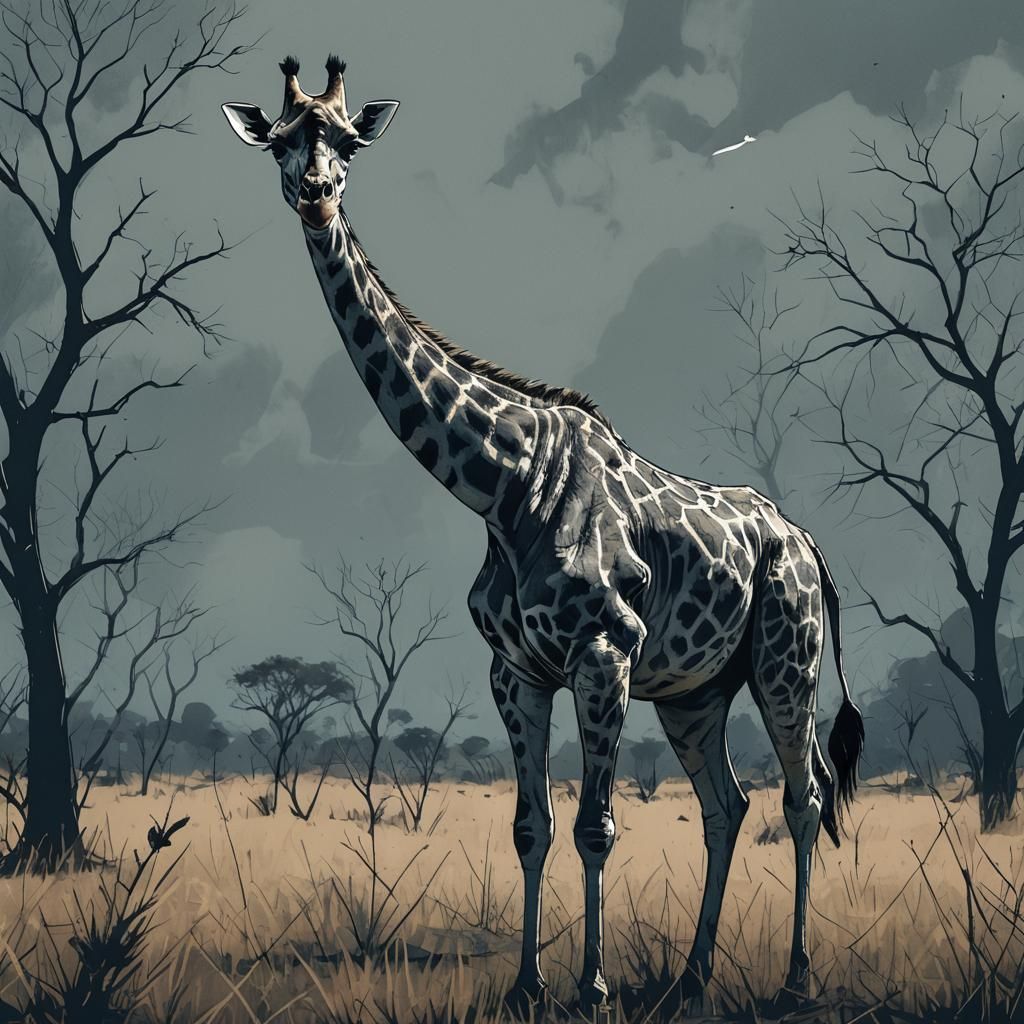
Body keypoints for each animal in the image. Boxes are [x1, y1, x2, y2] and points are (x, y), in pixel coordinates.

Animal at [222, 57, 866, 1016]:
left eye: (345, 141)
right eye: (279, 141)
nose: (315, 194)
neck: (502, 484)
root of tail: (810, 545)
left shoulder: (603, 652)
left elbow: (596, 826)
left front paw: (592, 986)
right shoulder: (517, 671)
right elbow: (531, 826)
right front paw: (528, 983)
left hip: (788, 663)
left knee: (805, 795)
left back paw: (794, 981)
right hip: (695, 691)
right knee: (726, 806)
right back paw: (691, 979)